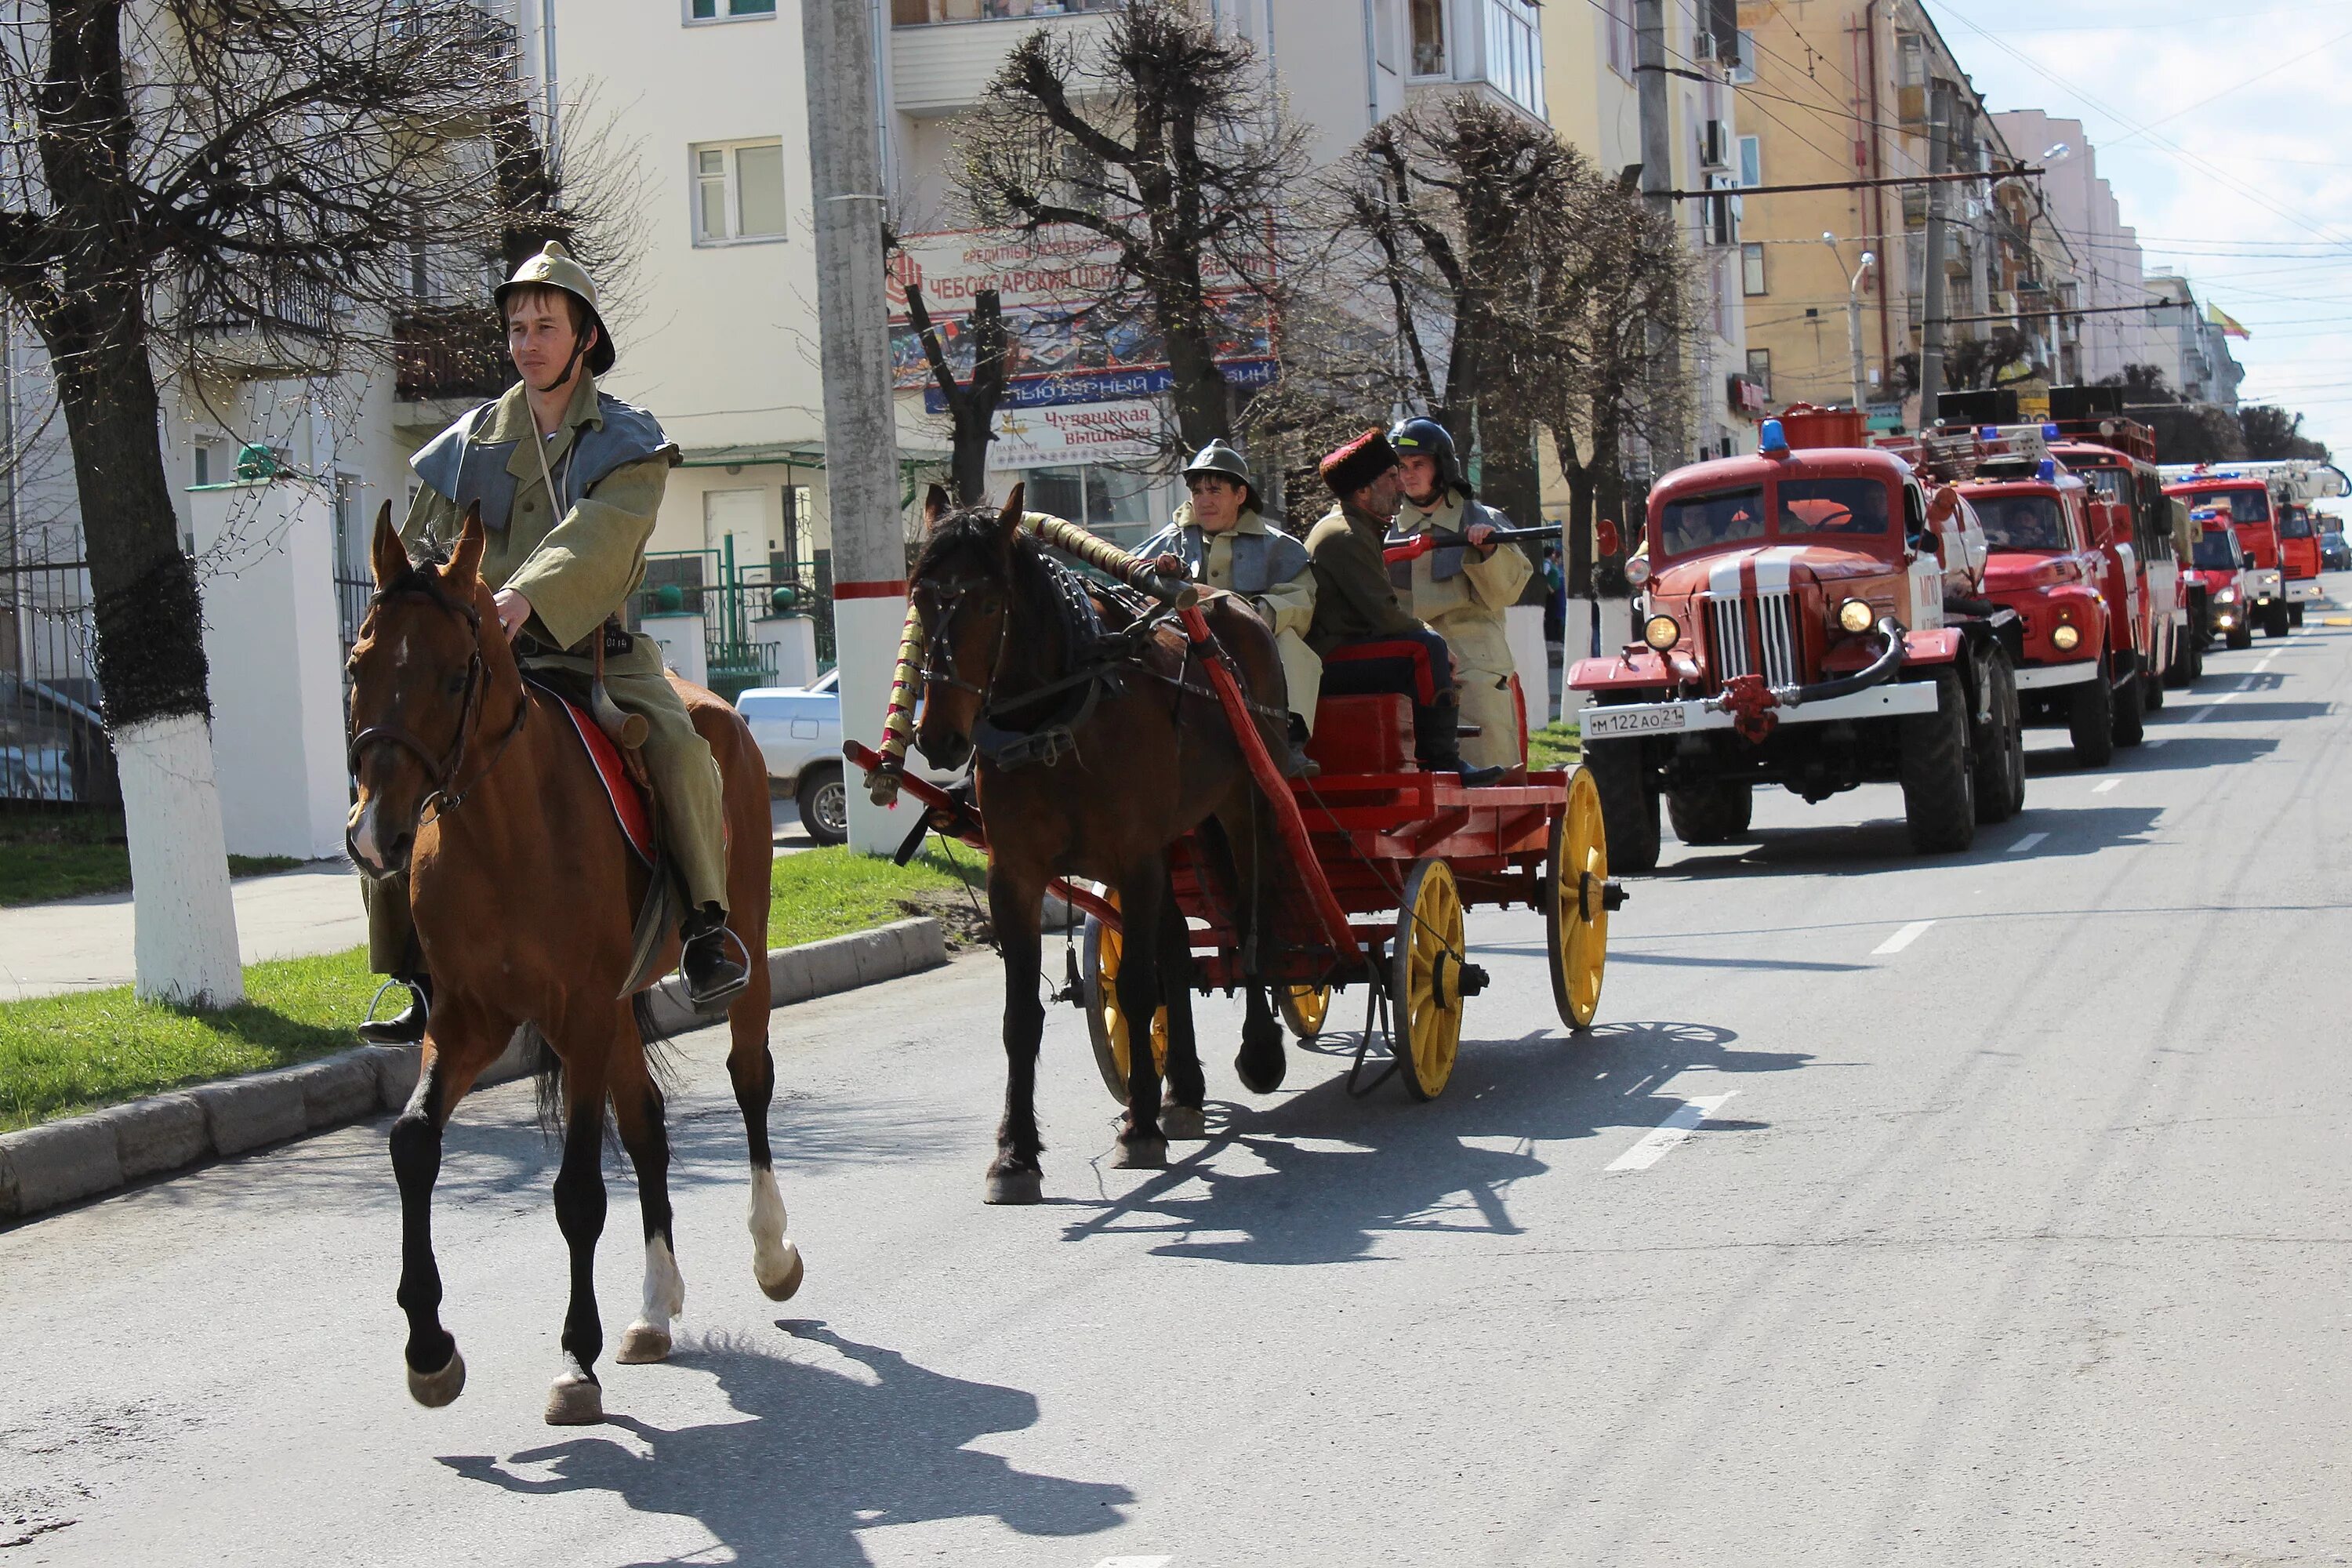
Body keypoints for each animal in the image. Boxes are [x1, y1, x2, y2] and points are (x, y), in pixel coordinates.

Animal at [341, 510, 800, 1429]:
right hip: (614, 1011)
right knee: (649, 1127)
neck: (504, 830)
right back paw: (655, 1308)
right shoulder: (470, 1019)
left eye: (454, 676)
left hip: (745, 949)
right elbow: (413, 1142)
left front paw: (574, 1361)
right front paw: (429, 1349)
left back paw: (772, 1252)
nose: (375, 835)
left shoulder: (581, 1013)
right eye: (356, 666)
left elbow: (580, 1190)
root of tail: (719, 710)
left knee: (749, 1078)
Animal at [903, 486, 1308, 1203]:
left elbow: (1141, 989)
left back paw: (1257, 1052)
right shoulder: (1016, 876)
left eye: (987, 603)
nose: (939, 738)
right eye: (922, 596)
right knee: (1177, 944)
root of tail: (1225, 600)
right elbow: (1021, 1017)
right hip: (1177, 837)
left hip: (1244, 805)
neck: (1055, 722)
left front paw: (1138, 1129)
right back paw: (1184, 1090)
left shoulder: (1133, 859)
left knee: (1251, 914)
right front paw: (1015, 1155)